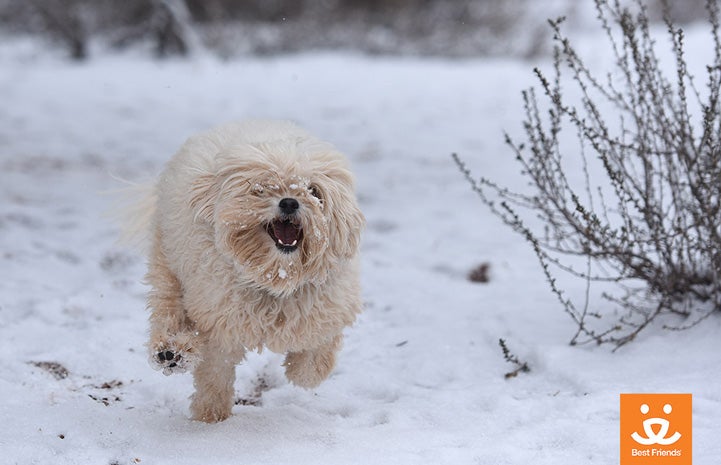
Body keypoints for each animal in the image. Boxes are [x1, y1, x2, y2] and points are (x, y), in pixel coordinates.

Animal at [134, 118, 362, 420]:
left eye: (314, 191)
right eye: (262, 187)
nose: (289, 202)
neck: (274, 276)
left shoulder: (327, 307)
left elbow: (317, 350)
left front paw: (303, 372)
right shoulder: (219, 319)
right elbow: (214, 373)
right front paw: (210, 416)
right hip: (168, 261)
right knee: (168, 307)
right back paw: (171, 349)